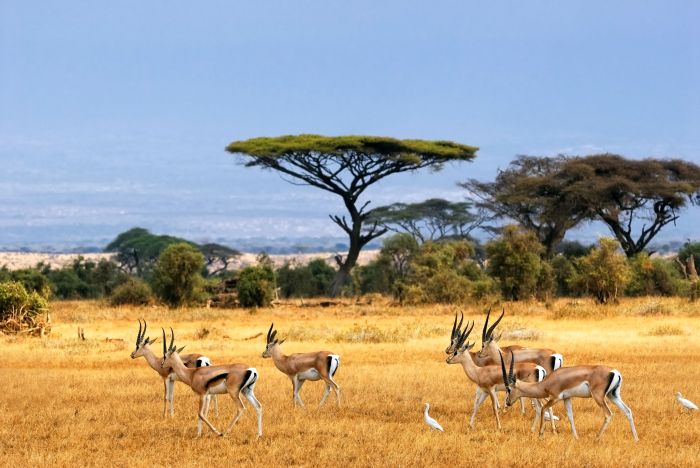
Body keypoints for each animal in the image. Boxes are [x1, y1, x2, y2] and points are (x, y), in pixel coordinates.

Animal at [500, 350, 639, 441]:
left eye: (508, 389)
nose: (507, 403)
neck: (547, 382)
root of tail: (614, 372)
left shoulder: (555, 397)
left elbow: (544, 408)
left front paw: (540, 435)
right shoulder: (567, 398)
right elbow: (570, 416)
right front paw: (576, 437)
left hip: (599, 397)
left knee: (608, 414)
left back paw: (596, 438)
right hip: (613, 395)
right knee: (628, 411)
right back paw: (636, 439)